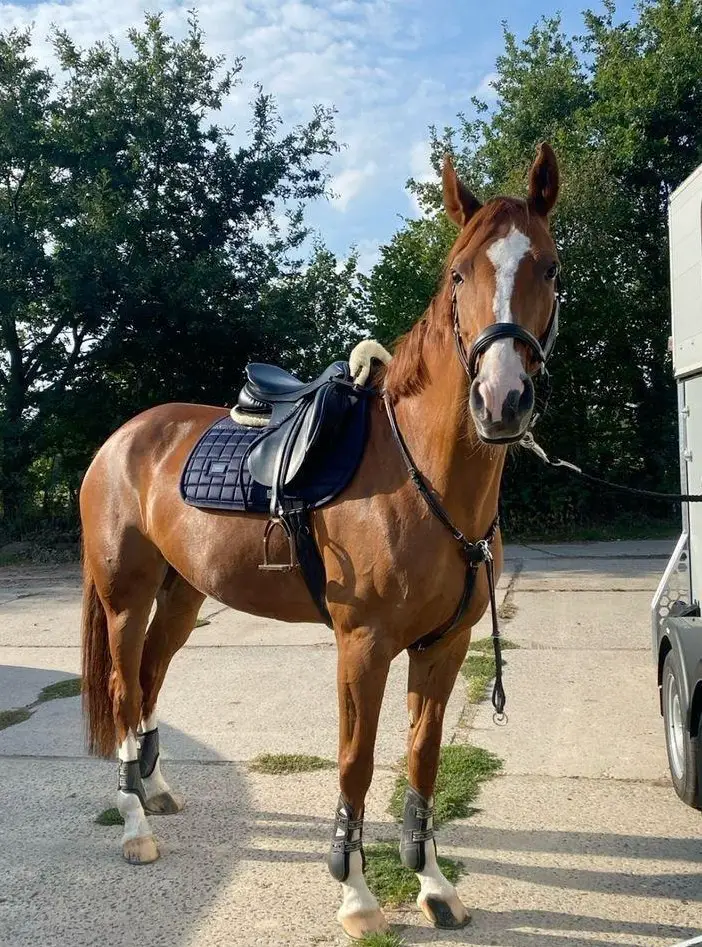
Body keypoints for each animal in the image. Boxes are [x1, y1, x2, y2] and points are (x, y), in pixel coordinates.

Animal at [80, 142, 560, 938]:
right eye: (459, 273)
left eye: (548, 268)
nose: (501, 401)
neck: (418, 471)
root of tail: (119, 440)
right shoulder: (362, 645)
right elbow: (356, 763)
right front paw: (357, 895)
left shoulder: (444, 647)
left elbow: (422, 762)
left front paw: (433, 885)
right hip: (126, 599)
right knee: (123, 691)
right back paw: (133, 824)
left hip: (180, 599)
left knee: (149, 679)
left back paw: (155, 791)